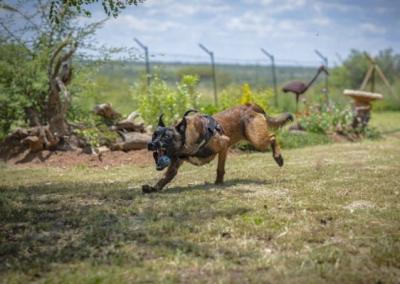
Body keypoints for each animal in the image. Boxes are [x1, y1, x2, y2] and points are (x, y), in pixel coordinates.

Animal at [142, 102, 292, 193]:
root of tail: (250, 106)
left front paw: (218, 182)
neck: (186, 138)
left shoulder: (224, 145)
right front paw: (153, 188)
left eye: (166, 137)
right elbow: (165, 178)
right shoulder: (174, 165)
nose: (151, 144)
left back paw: (278, 157)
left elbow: (220, 169)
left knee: (272, 137)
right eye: (154, 135)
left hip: (256, 140)